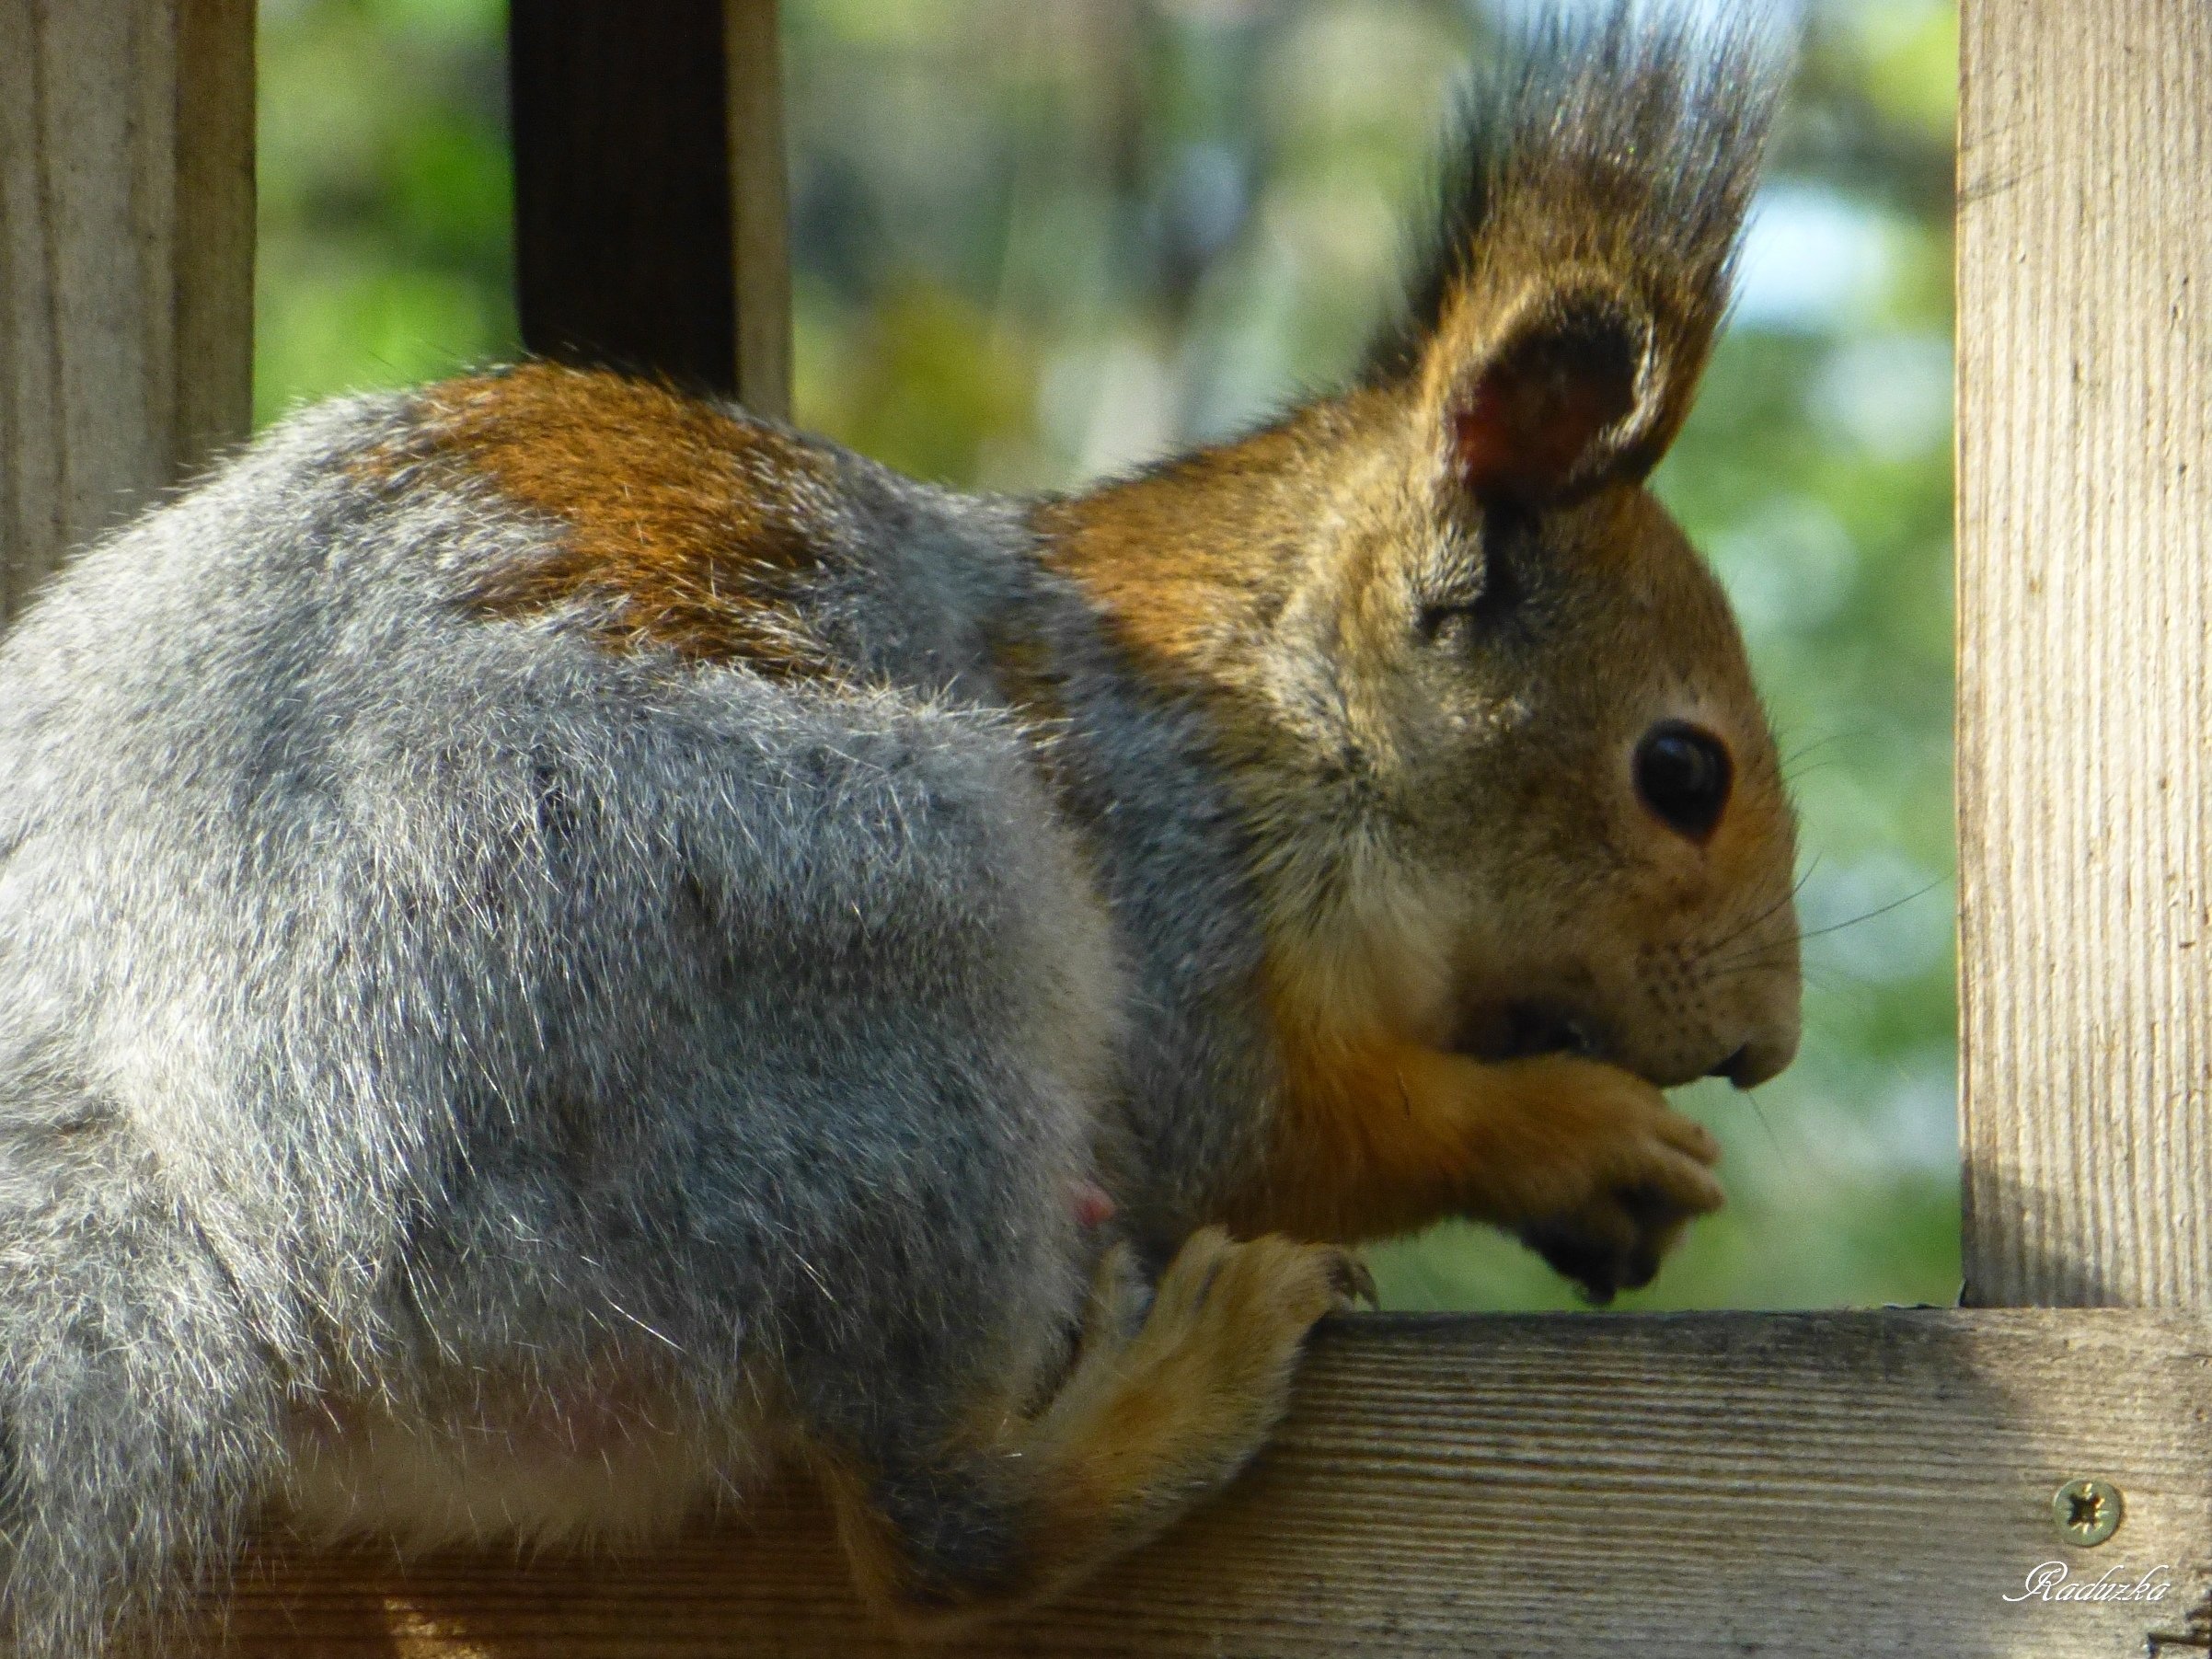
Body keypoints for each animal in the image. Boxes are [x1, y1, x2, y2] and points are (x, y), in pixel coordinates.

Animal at [0, 6, 1796, 1654]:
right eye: (1680, 773)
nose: (1766, 1043)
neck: (1277, 709)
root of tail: (216, 1206)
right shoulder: (1176, 895)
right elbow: (1283, 1132)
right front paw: (1574, 1135)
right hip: (878, 960)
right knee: (938, 1529)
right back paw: (1177, 1387)